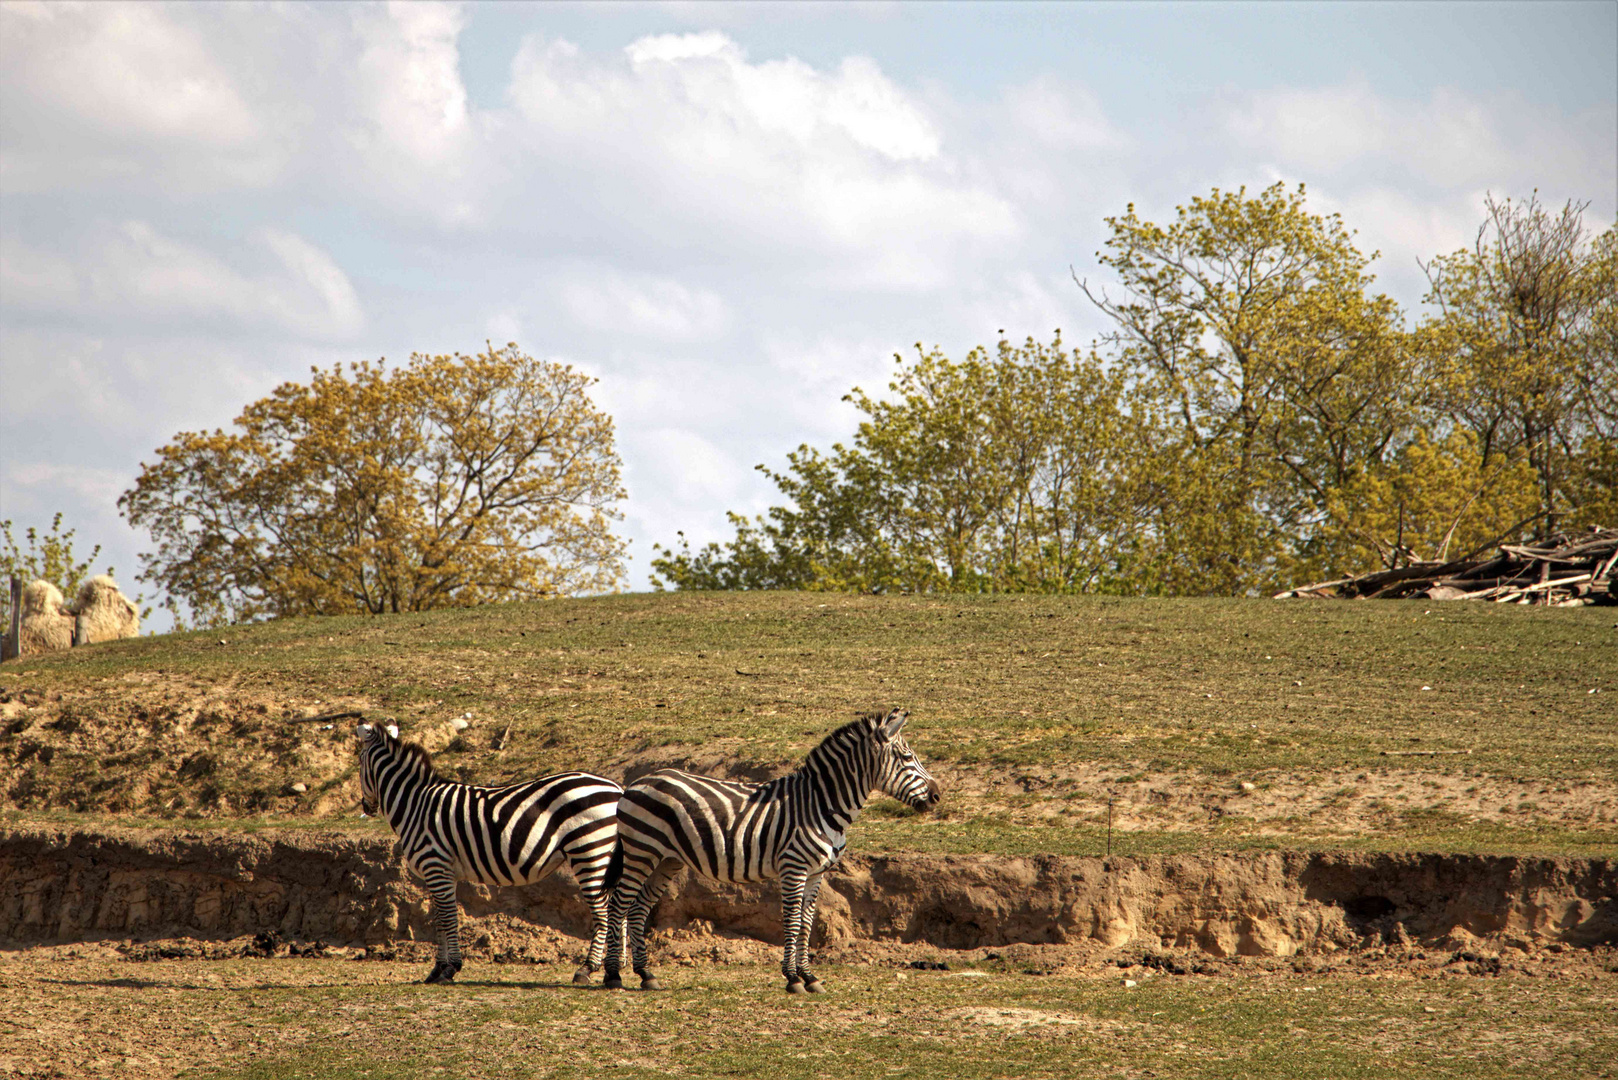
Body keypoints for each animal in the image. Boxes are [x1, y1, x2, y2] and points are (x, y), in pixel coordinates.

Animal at [357, 722, 621, 984]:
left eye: (359, 762)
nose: (366, 808)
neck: (415, 806)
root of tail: (616, 788)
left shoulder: (436, 867)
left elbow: (448, 918)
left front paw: (450, 968)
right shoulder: (439, 874)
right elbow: (439, 921)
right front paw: (437, 969)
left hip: (589, 851)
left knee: (603, 912)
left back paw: (587, 969)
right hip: (605, 855)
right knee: (617, 907)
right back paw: (614, 969)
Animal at [605, 709, 938, 997]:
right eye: (907, 757)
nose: (937, 795)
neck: (821, 805)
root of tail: (636, 783)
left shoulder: (817, 873)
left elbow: (806, 922)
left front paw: (809, 976)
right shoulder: (794, 868)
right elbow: (791, 920)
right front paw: (792, 978)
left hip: (667, 859)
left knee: (639, 906)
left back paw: (645, 974)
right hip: (641, 851)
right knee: (618, 903)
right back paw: (613, 974)